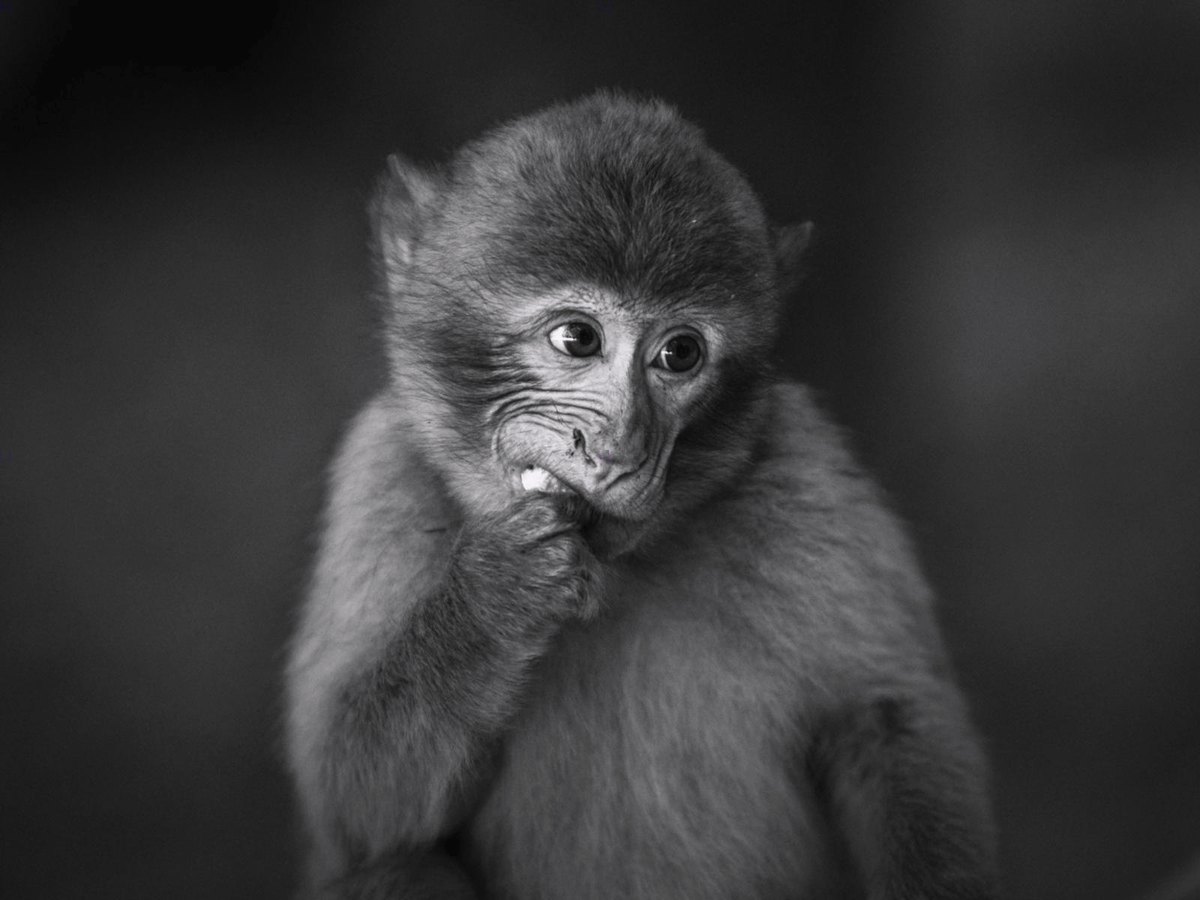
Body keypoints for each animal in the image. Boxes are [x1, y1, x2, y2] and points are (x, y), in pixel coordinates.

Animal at [284, 91, 999, 900]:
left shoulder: (805, 471)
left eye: (679, 353)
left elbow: (888, 721)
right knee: (400, 868)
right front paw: (497, 595)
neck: (617, 571)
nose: (621, 447)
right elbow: (357, 811)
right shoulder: (381, 475)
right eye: (576, 339)